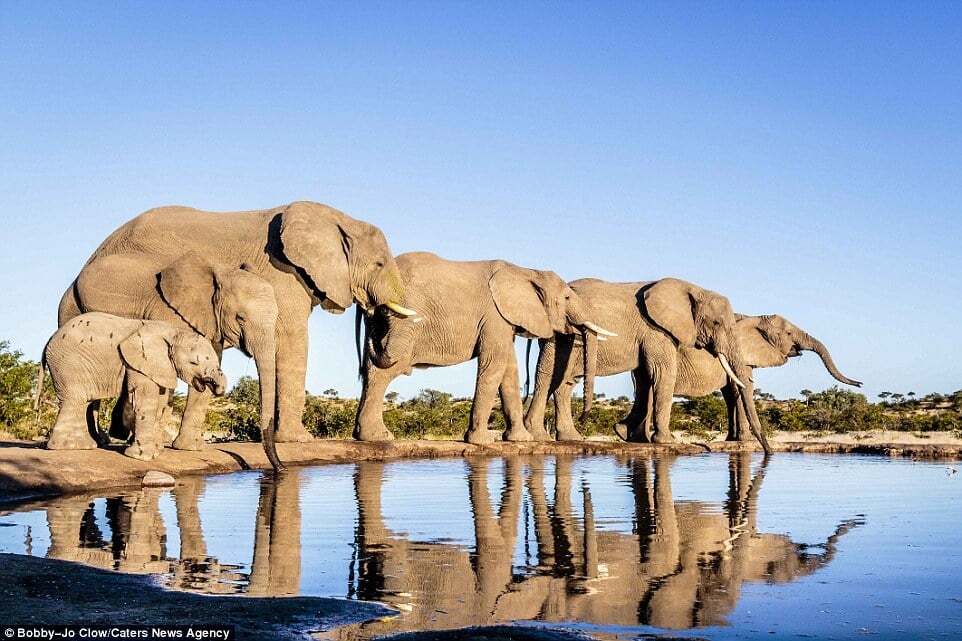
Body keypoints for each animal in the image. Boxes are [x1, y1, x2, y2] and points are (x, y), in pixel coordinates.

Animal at [41, 312, 227, 458]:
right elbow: (144, 399)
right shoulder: (138, 361)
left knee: (82, 402)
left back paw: (82, 446)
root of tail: (48, 340)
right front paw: (143, 457)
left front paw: (157, 452)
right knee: (76, 400)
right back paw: (67, 447)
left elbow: (160, 401)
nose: (216, 386)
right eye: (193, 363)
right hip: (68, 365)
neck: (174, 332)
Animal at [59, 200, 412, 456]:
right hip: (74, 305)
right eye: (379, 264)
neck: (337, 218)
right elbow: (293, 340)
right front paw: (299, 440)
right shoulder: (282, 272)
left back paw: (106, 438)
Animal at [354, 251, 616, 444]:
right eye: (568, 298)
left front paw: (520, 440)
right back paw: (379, 437)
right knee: (387, 366)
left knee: (371, 368)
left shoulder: (504, 321)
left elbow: (509, 370)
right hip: (402, 317)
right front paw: (483, 441)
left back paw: (366, 435)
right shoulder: (495, 316)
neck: (526, 270)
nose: (584, 418)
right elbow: (494, 365)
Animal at [520, 276, 768, 450]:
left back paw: (569, 437)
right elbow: (663, 373)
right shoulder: (656, 331)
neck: (693, 289)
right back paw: (540, 436)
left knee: (563, 382)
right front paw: (667, 442)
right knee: (548, 376)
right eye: (716, 323)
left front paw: (628, 435)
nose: (766, 451)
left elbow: (645, 377)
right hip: (557, 335)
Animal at [528, 312, 860, 442]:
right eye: (789, 334)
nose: (860, 383)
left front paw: (734, 440)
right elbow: (741, 389)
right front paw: (743, 441)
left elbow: (733, 393)